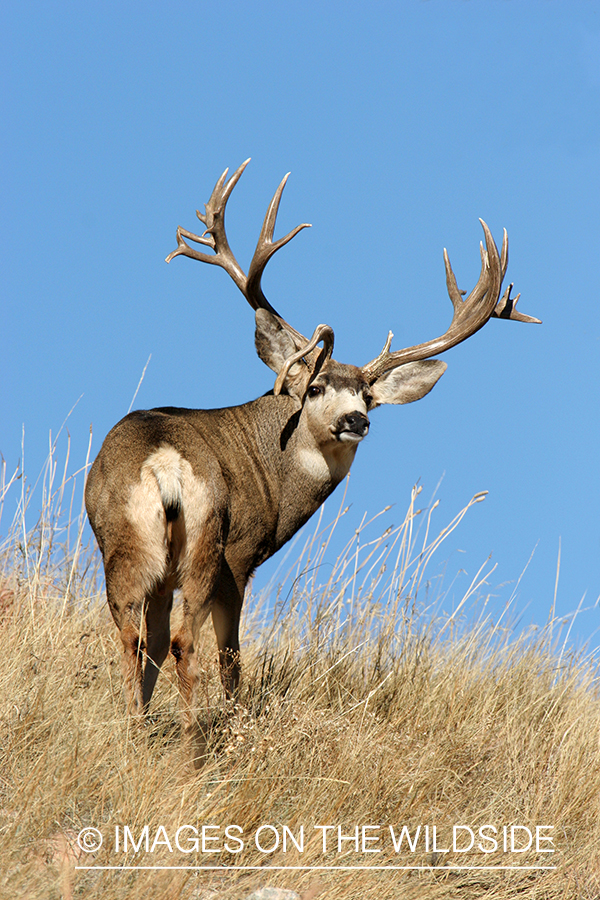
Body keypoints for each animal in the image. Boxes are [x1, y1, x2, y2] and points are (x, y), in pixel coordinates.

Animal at [84, 158, 540, 748]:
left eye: (369, 394)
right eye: (317, 386)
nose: (356, 420)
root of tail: (163, 465)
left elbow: (159, 647)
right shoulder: (241, 556)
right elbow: (230, 658)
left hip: (129, 547)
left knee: (137, 638)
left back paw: (141, 730)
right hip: (206, 550)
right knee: (187, 643)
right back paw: (193, 743)